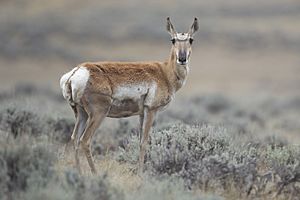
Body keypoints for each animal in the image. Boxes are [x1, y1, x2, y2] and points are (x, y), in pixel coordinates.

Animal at [59, 17, 198, 173]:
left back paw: (79, 172)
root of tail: (76, 72)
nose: (182, 58)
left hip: (81, 113)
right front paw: (141, 173)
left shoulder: (142, 114)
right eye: (173, 40)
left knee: (75, 138)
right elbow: (144, 142)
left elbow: (139, 141)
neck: (164, 72)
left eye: (191, 39)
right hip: (98, 114)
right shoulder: (151, 110)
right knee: (85, 140)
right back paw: (95, 173)